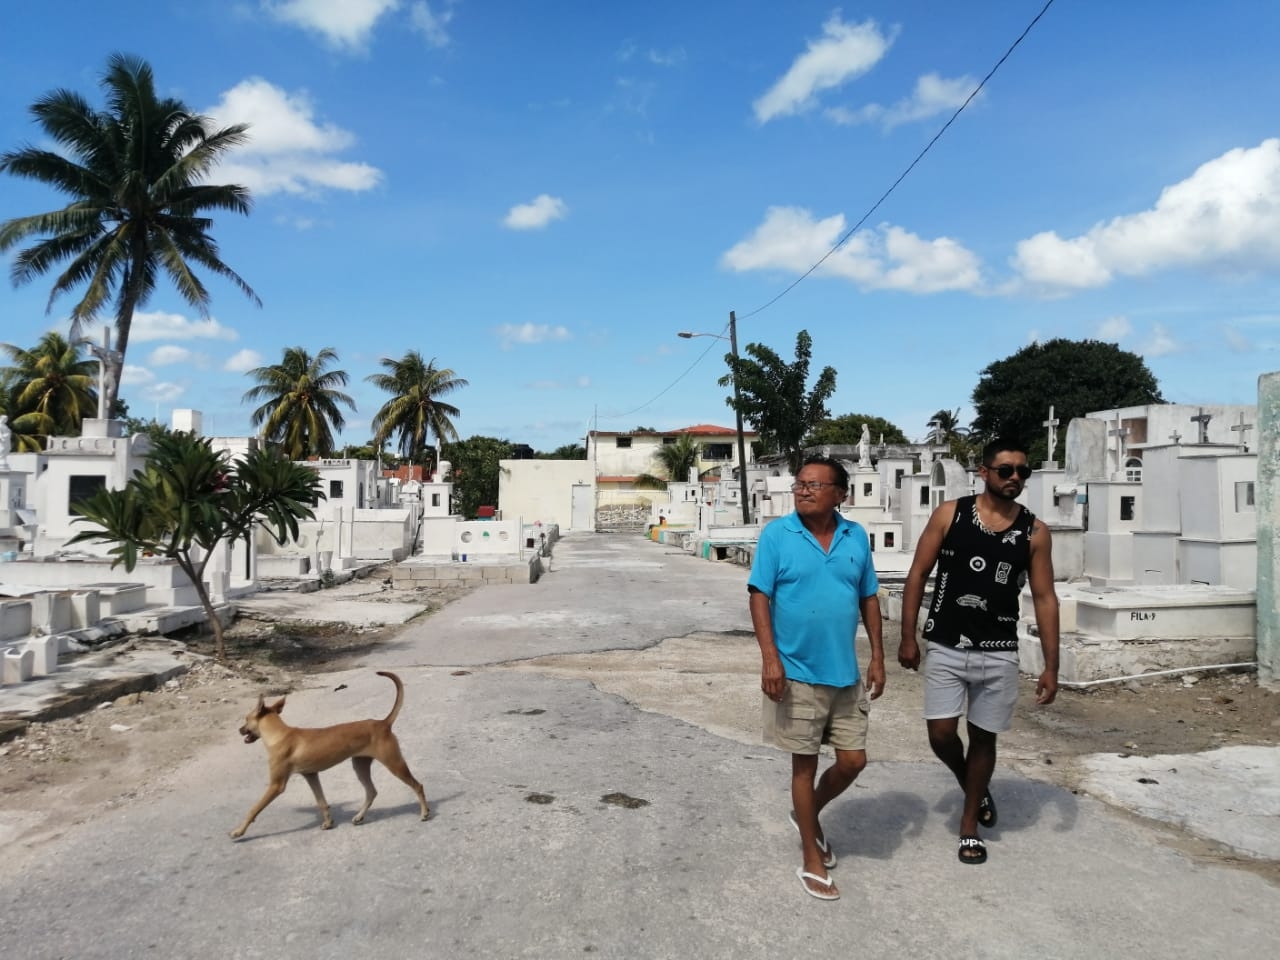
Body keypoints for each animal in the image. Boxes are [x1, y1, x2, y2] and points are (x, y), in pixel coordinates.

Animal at [230, 670, 430, 839]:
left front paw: (238, 831)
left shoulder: (276, 785)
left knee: (417, 785)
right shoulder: (311, 775)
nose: (239, 730)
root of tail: (383, 723)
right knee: (372, 792)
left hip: (394, 763)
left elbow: (253, 809)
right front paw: (328, 822)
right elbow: (321, 802)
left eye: (246, 720)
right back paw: (359, 816)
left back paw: (425, 813)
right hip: (360, 765)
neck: (280, 735)